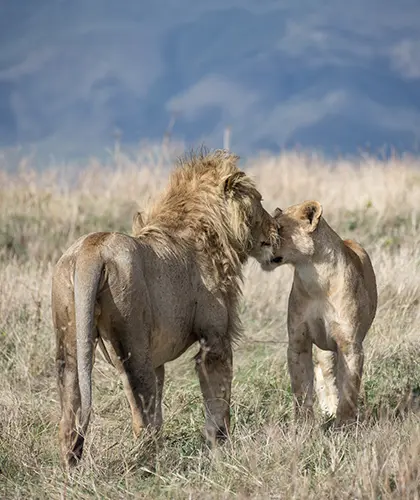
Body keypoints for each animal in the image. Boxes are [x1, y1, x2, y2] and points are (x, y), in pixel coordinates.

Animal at [52, 147, 278, 464]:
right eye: (260, 202)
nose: (277, 227)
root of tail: (92, 249)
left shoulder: (158, 357)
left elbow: (160, 408)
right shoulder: (214, 340)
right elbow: (218, 396)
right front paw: (220, 444)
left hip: (70, 342)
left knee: (70, 417)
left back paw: (73, 466)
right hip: (132, 345)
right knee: (141, 418)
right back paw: (150, 463)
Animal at [262, 200, 378, 426]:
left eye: (279, 229)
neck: (314, 277)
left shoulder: (349, 344)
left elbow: (349, 386)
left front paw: (345, 424)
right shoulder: (298, 343)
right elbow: (301, 388)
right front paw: (303, 425)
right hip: (325, 349)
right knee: (326, 373)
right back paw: (328, 409)